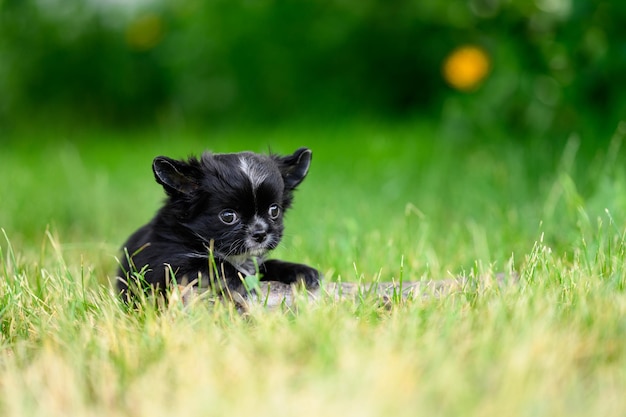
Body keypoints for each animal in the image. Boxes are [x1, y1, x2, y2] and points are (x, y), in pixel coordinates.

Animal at [117, 146, 320, 300]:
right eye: (228, 216)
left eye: (274, 211)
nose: (260, 234)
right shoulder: (166, 264)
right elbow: (212, 264)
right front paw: (240, 281)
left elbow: (269, 265)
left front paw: (300, 271)